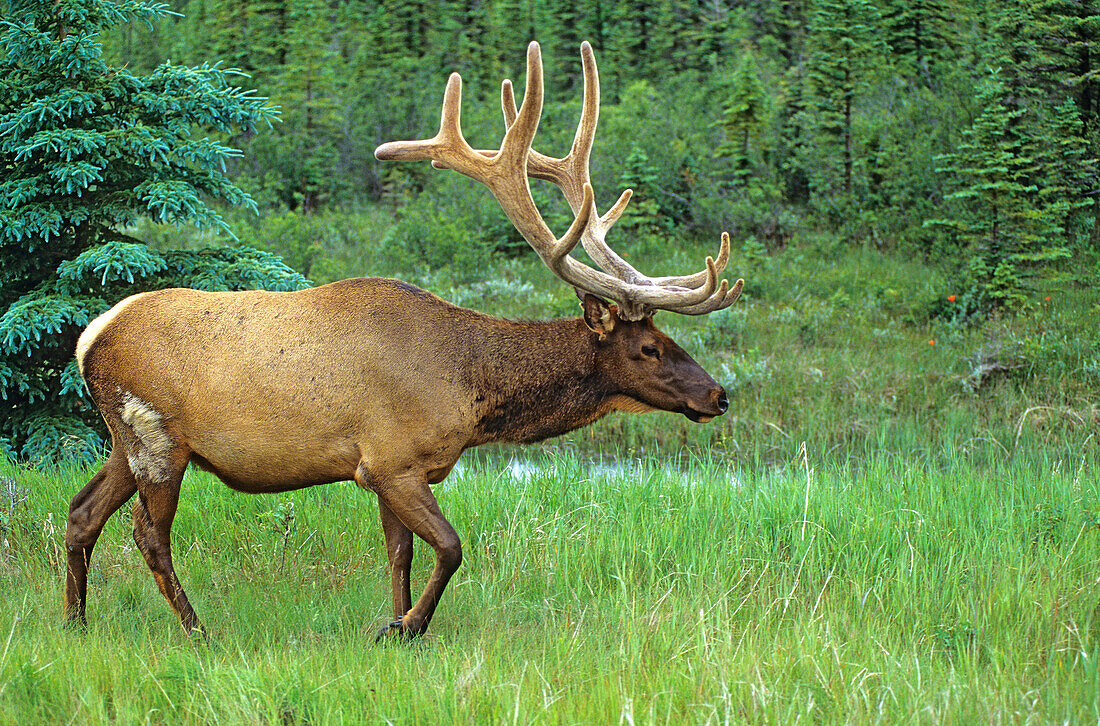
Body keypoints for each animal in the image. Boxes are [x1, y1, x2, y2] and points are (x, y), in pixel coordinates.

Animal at [64, 42, 743, 638]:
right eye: (649, 348)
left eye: (667, 336)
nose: (717, 395)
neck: (472, 392)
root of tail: (89, 338)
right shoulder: (393, 461)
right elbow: (450, 548)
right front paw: (409, 626)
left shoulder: (390, 470)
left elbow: (400, 556)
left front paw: (393, 620)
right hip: (156, 438)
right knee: (147, 534)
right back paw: (195, 628)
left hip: (124, 440)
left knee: (81, 512)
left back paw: (76, 620)